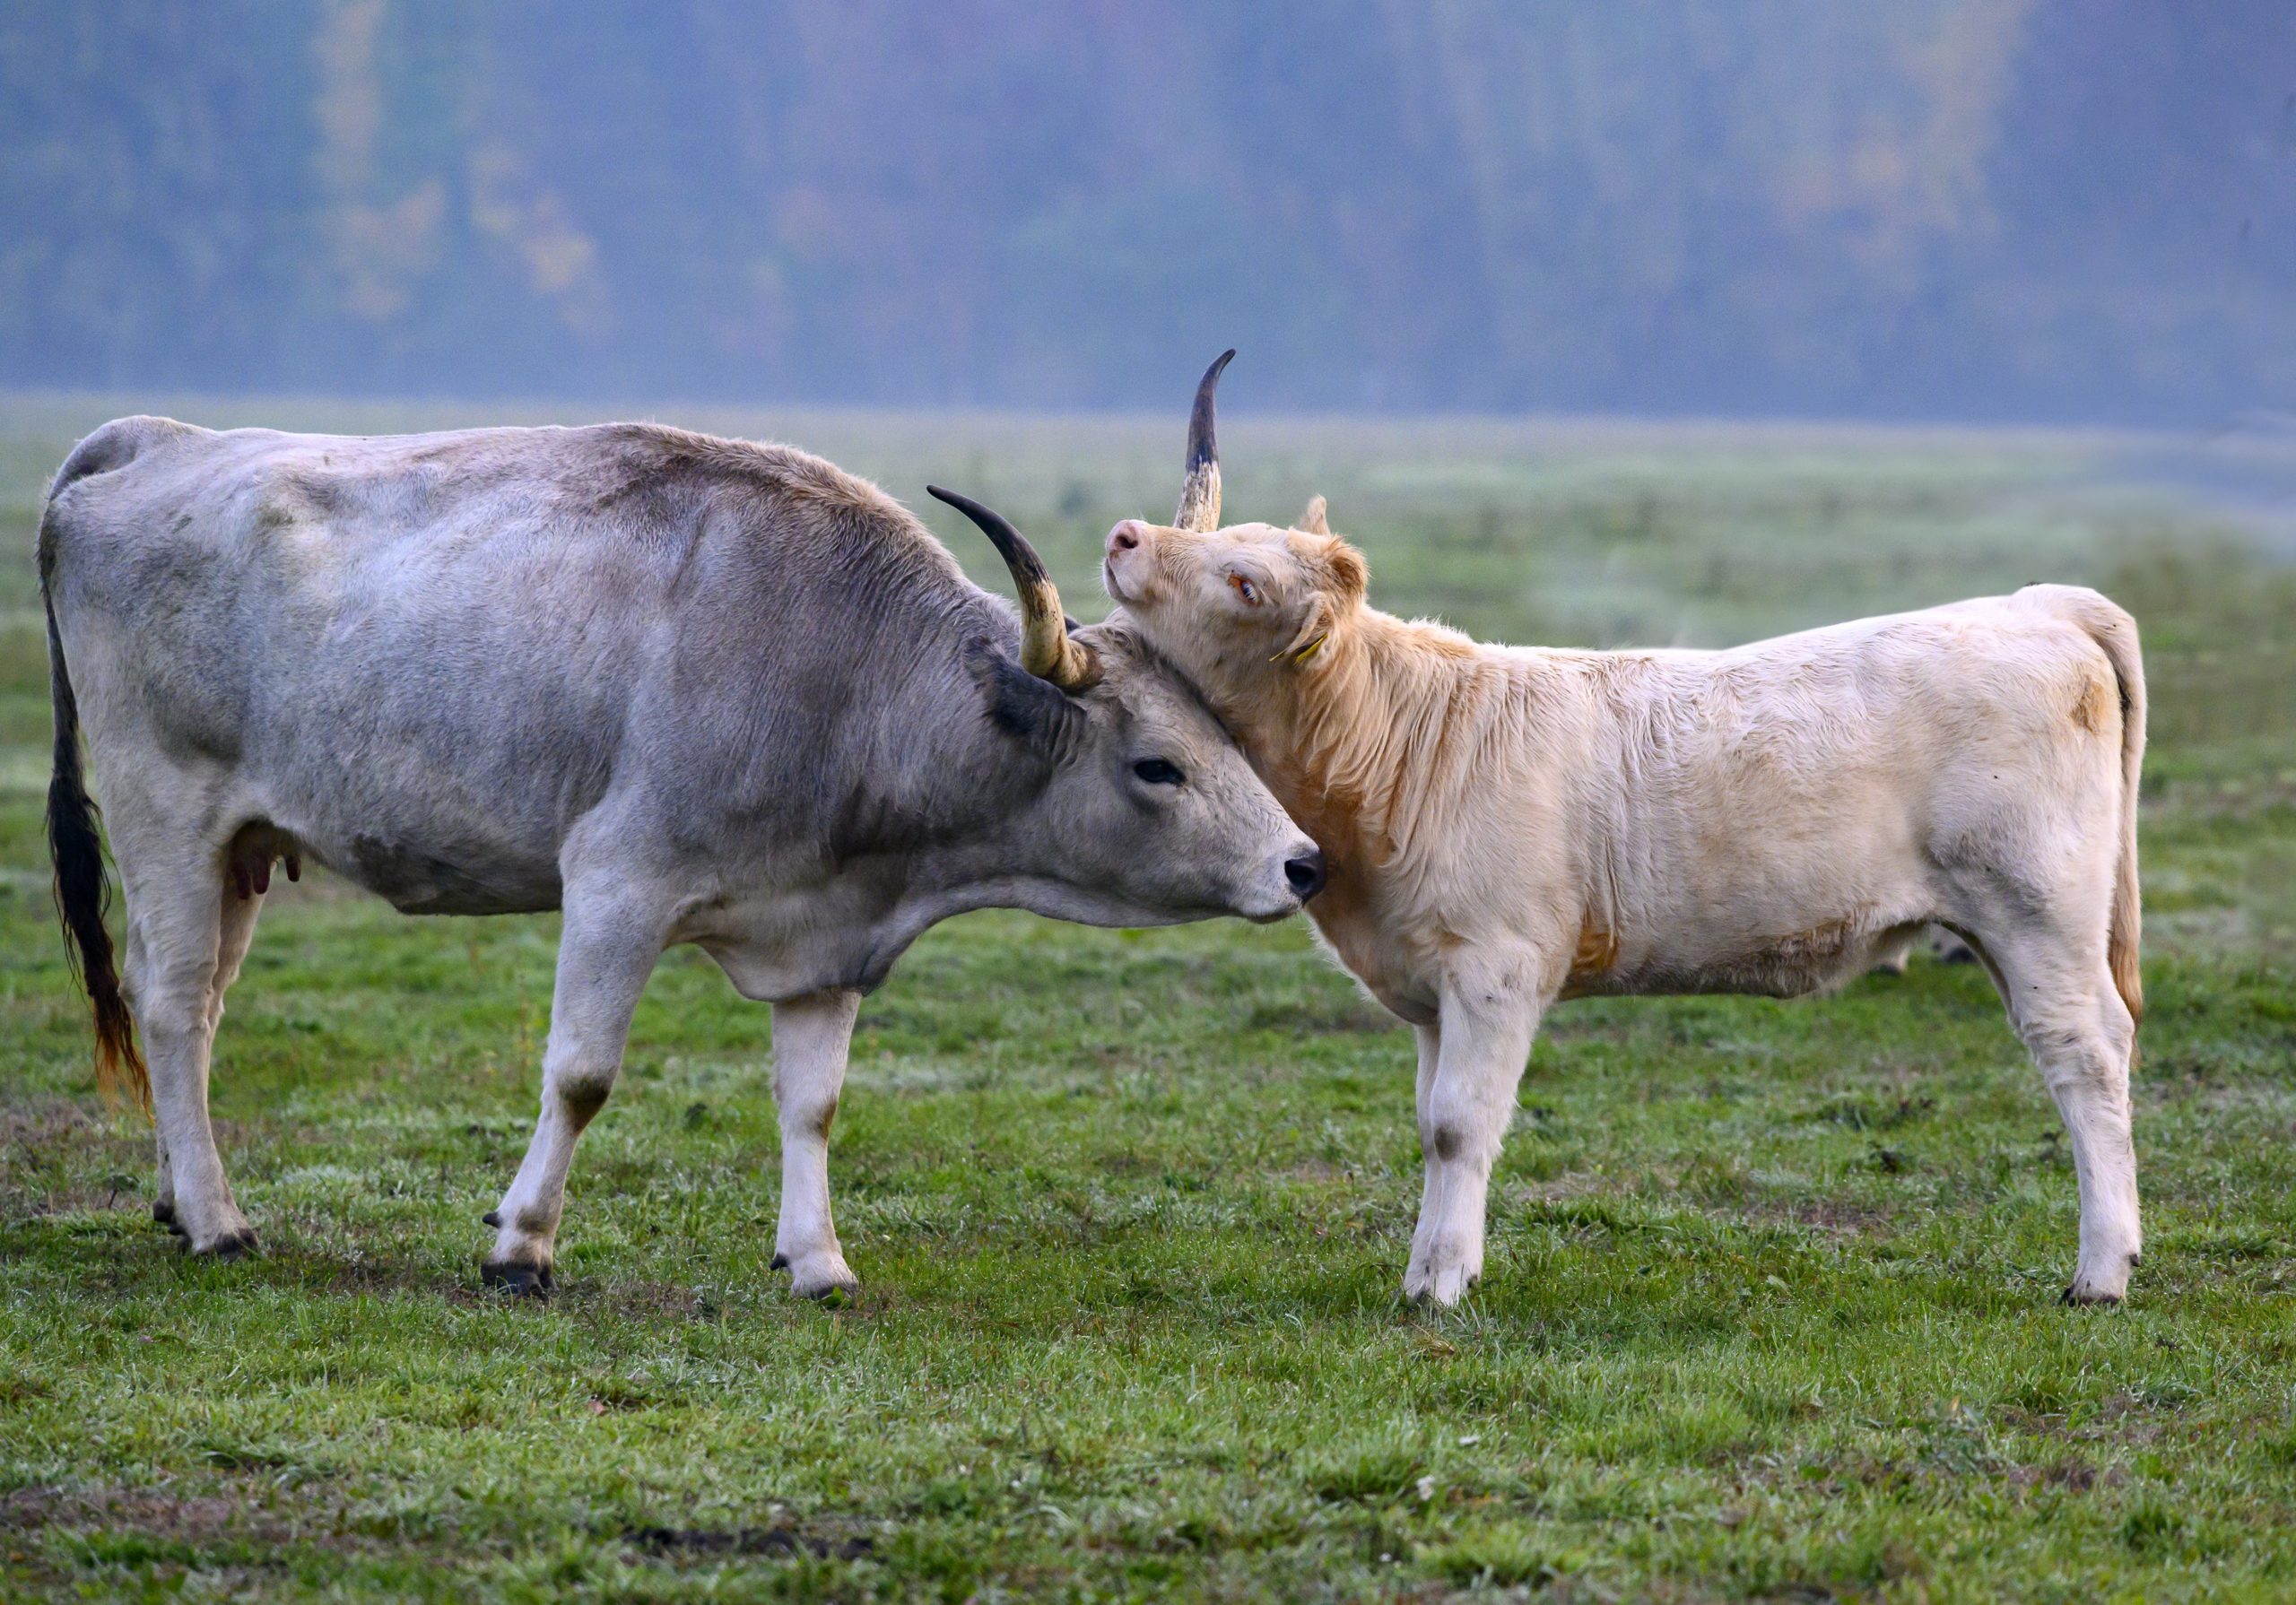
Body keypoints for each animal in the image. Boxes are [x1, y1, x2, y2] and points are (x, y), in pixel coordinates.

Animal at [36, 412, 1322, 1295]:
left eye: (1222, 729)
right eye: (1156, 765)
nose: (1303, 865)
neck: (848, 673)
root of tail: (159, 442)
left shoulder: (823, 940)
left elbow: (813, 1104)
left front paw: (817, 1259)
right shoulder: (618, 882)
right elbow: (582, 1073)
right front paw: (522, 1244)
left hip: (239, 848)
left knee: (195, 1006)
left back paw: (177, 1195)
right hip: (164, 812)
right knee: (173, 1004)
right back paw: (217, 1220)